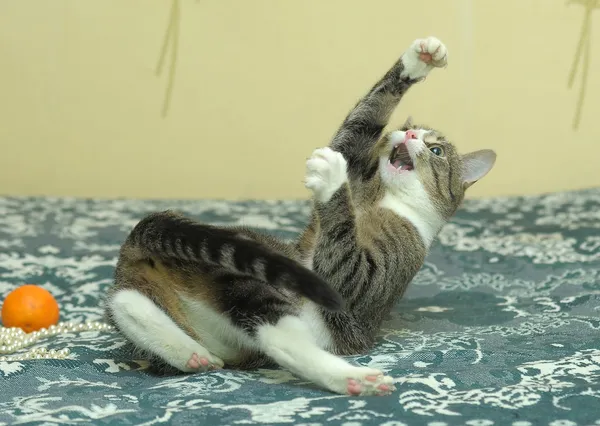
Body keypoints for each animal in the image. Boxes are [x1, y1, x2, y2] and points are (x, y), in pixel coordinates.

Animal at [105, 36, 494, 396]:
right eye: (407, 130)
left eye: (436, 150)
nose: (409, 132)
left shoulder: (375, 276)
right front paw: (419, 59)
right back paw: (190, 353)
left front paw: (332, 179)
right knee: (126, 303)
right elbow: (359, 125)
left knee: (278, 338)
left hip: (248, 280)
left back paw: (352, 378)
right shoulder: (359, 171)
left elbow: (346, 264)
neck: (382, 198)